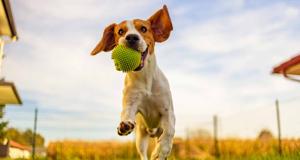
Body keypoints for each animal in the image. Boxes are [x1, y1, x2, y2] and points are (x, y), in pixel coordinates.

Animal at [90, 5, 175, 160]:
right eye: (120, 31)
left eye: (143, 29)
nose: (131, 37)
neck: (145, 78)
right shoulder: (131, 102)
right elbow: (126, 113)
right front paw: (124, 125)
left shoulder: (168, 112)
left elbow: (170, 131)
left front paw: (161, 150)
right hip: (141, 138)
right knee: (143, 155)